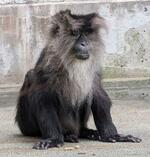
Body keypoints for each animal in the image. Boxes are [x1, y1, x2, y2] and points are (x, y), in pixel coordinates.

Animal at [15, 9, 142, 150]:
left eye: (86, 33)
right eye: (75, 33)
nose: (84, 43)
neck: (72, 62)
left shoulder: (94, 71)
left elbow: (98, 95)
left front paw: (113, 136)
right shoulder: (47, 65)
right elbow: (44, 100)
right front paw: (53, 139)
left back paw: (85, 132)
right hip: (27, 127)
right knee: (30, 75)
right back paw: (67, 136)